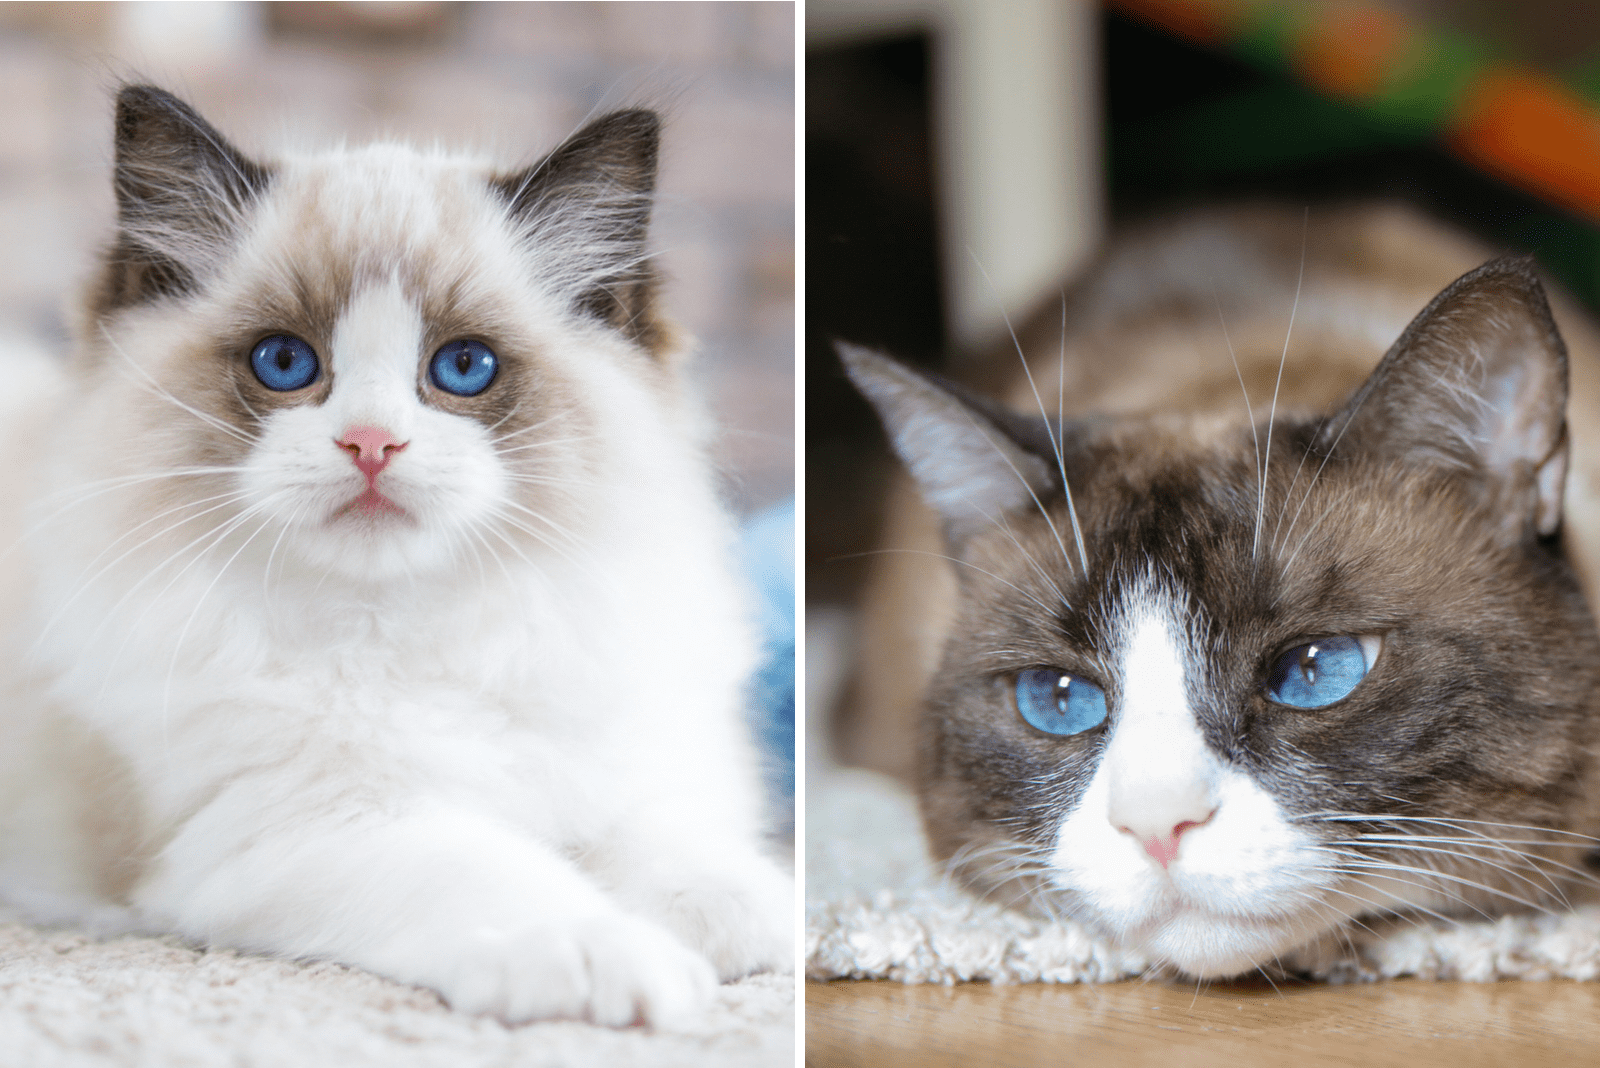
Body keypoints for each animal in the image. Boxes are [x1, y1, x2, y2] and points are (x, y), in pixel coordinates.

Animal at [0, 85, 793, 1023]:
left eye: (463, 367)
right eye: (284, 361)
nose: (372, 445)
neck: (406, 631)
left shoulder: (623, 762)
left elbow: (659, 841)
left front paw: (747, 922)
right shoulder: (305, 828)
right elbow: (509, 878)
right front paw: (613, 959)